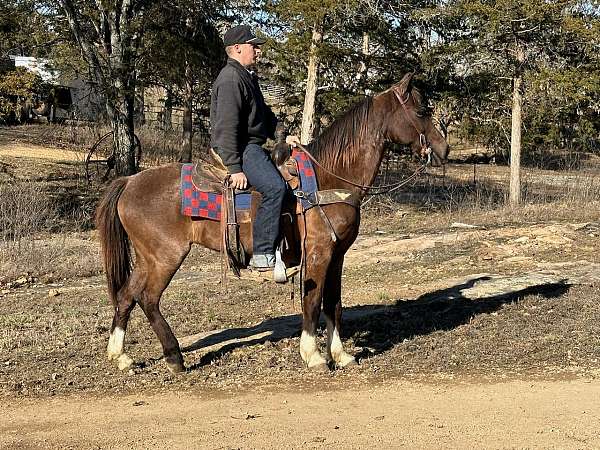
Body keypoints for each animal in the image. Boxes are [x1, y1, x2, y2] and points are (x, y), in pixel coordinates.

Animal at [96, 73, 448, 372]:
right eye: (421, 110)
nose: (443, 148)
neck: (329, 177)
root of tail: (129, 182)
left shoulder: (338, 255)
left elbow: (334, 303)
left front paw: (341, 354)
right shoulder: (318, 253)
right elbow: (313, 301)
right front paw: (313, 355)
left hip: (148, 257)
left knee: (127, 295)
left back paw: (121, 356)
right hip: (166, 256)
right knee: (148, 298)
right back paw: (174, 357)